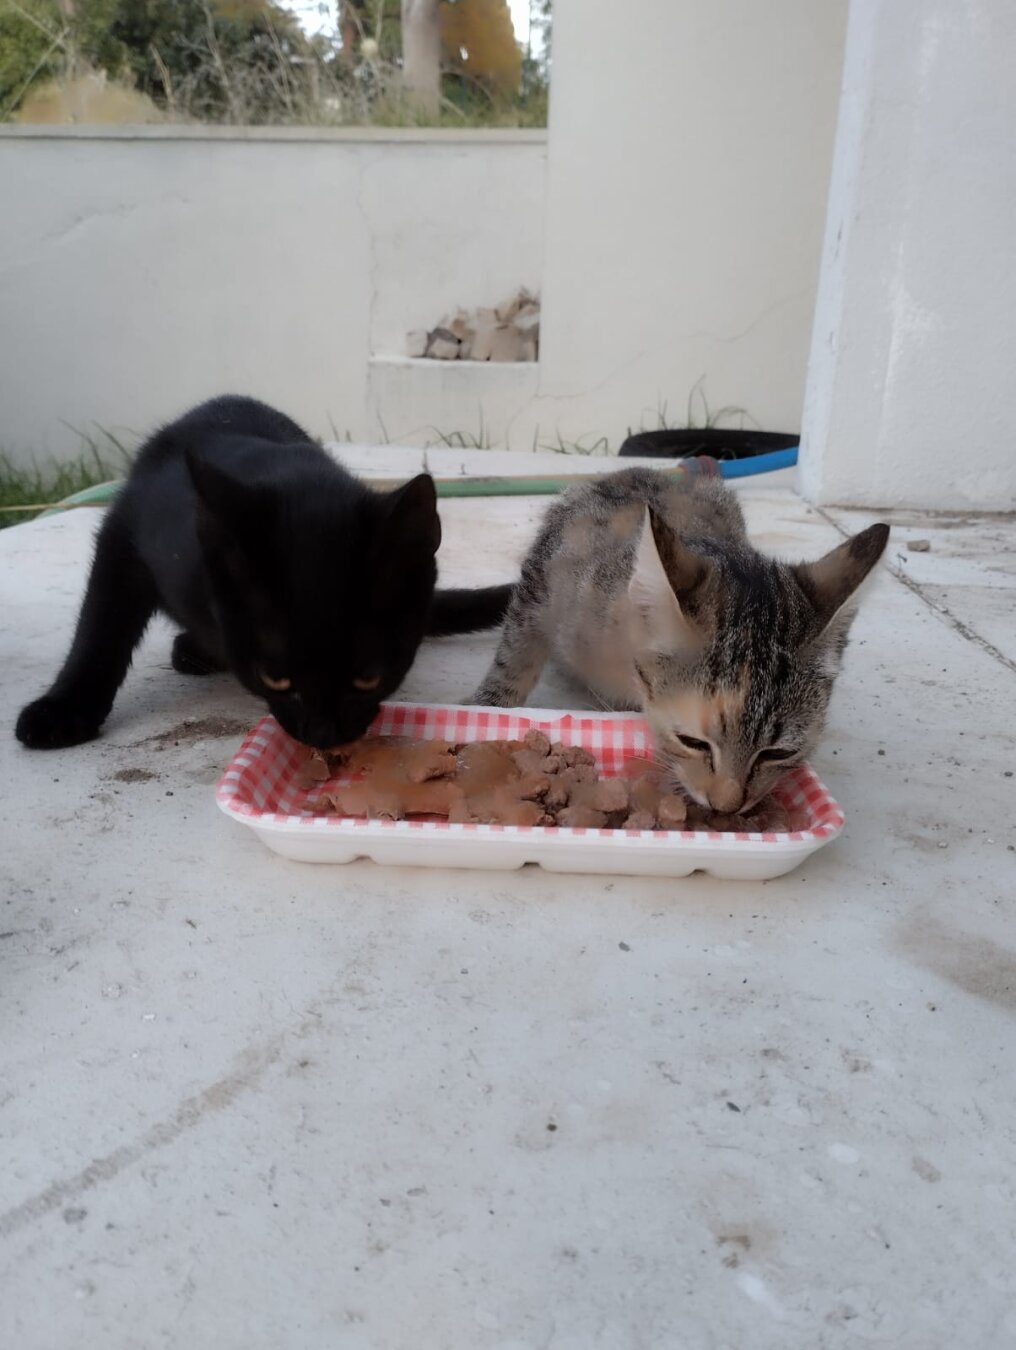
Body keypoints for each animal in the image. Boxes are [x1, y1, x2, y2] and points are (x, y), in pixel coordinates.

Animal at [16, 395, 513, 751]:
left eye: (369, 678)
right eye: (276, 679)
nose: (323, 736)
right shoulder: (127, 531)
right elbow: (101, 626)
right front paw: (64, 708)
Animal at [472, 467, 889, 815]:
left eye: (778, 752)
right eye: (693, 742)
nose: (727, 807)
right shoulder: (540, 579)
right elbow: (514, 658)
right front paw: (487, 708)